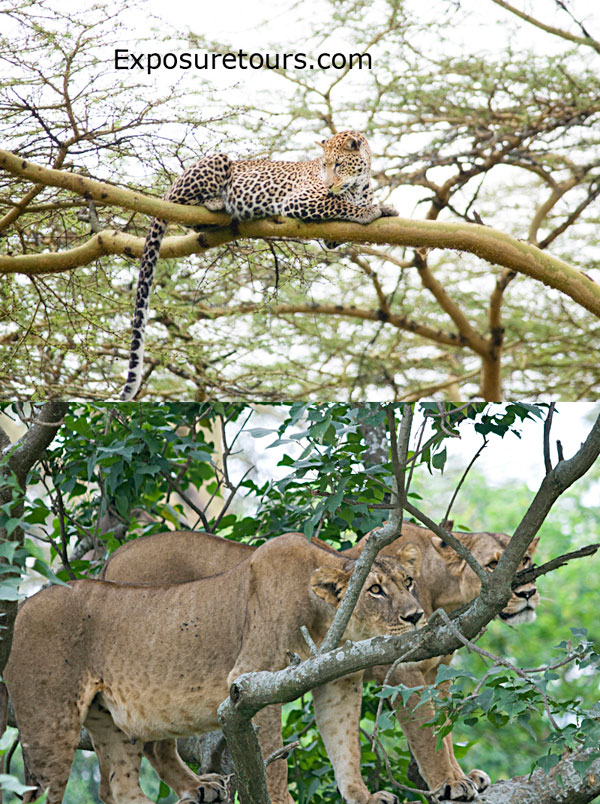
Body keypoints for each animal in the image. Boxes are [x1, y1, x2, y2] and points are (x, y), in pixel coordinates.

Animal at [4, 532, 425, 804]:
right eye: (375, 590)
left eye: (408, 581)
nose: (416, 616)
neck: (327, 623)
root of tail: (24, 604)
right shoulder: (252, 681)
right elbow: (275, 761)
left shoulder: (338, 683)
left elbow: (345, 746)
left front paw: (362, 796)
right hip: (50, 724)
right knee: (42, 793)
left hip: (111, 719)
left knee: (117, 786)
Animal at [101, 522, 539, 803]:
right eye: (497, 563)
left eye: (529, 562)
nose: (529, 592)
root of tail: (110, 559)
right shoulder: (403, 670)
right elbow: (427, 737)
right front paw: (449, 784)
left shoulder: (433, 671)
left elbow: (438, 732)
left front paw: (463, 776)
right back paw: (195, 788)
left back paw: (199, 787)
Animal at [120, 130, 398, 401]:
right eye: (323, 166)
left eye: (339, 165)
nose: (329, 183)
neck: (360, 184)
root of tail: (168, 189)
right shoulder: (300, 201)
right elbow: (338, 203)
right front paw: (369, 211)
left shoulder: (331, 236)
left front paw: (385, 207)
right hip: (214, 164)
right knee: (182, 205)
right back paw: (215, 202)